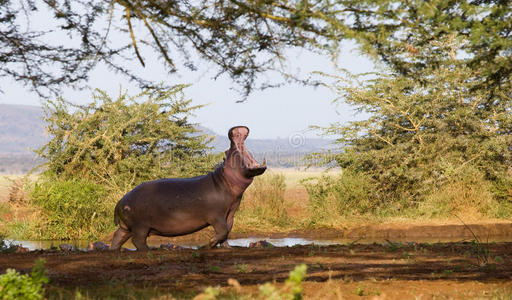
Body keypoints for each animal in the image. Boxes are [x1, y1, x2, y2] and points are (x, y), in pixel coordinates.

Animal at [109, 126, 266, 251]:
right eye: (228, 151)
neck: (223, 180)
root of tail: (120, 202)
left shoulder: (230, 214)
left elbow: (227, 232)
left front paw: (228, 248)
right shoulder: (216, 215)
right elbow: (222, 231)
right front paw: (207, 245)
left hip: (126, 226)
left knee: (118, 236)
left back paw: (114, 250)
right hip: (140, 226)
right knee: (138, 241)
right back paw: (150, 249)